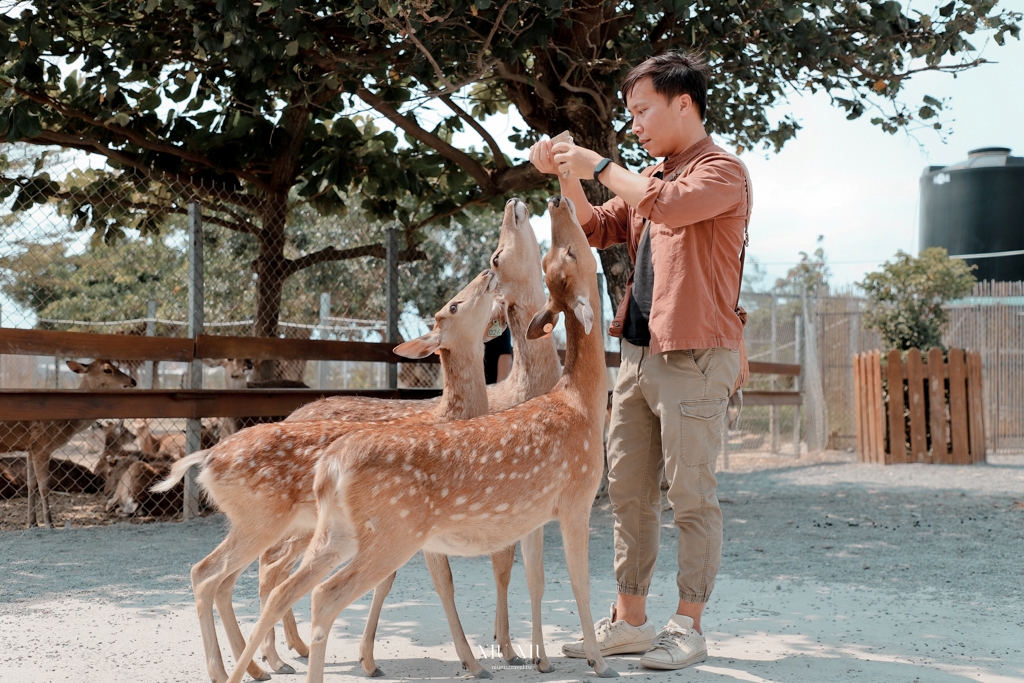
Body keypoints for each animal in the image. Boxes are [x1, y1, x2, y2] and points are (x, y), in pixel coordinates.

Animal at [0, 358, 136, 528]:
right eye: (107, 370)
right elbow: (43, 487)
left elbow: (32, 484)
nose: (133, 381)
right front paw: (49, 524)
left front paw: (32, 523)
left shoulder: (31, 448)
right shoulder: (42, 446)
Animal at [156, 268, 507, 683]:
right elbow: (441, 583)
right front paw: (472, 663)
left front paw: (369, 659)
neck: (449, 417)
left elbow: (393, 583)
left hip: (268, 522)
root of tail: (208, 457)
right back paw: (241, 666)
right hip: (263, 519)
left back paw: (262, 663)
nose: (487, 271)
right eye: (453, 305)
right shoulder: (421, 516)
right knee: (214, 573)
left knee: (236, 577)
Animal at [219, 193, 610, 683]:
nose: (526, 201)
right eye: (497, 256)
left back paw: (270, 658)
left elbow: (523, 576)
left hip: (328, 529)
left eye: (563, 253)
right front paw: (540, 656)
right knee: (283, 579)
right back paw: (272, 659)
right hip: (355, 527)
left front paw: (527, 653)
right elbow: (550, 579)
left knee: (269, 576)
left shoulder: (531, 511)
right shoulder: (572, 498)